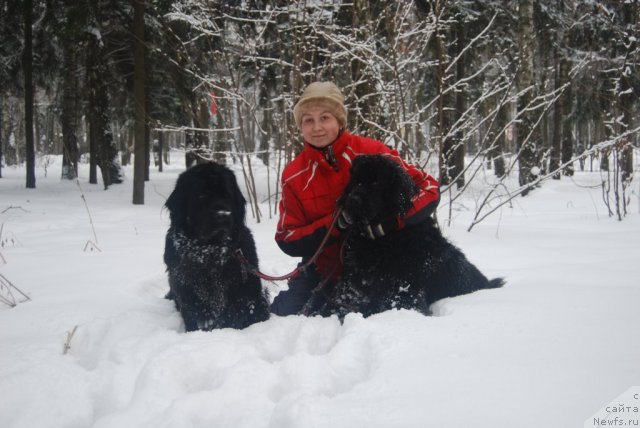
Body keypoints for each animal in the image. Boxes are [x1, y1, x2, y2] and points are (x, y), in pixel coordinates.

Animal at [162, 162, 270, 332]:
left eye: (227, 195)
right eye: (201, 195)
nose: (223, 214)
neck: (210, 252)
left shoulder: (245, 291)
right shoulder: (186, 290)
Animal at [318, 155, 502, 318]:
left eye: (376, 182)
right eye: (356, 181)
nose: (352, 200)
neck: (381, 237)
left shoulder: (403, 291)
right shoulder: (354, 284)